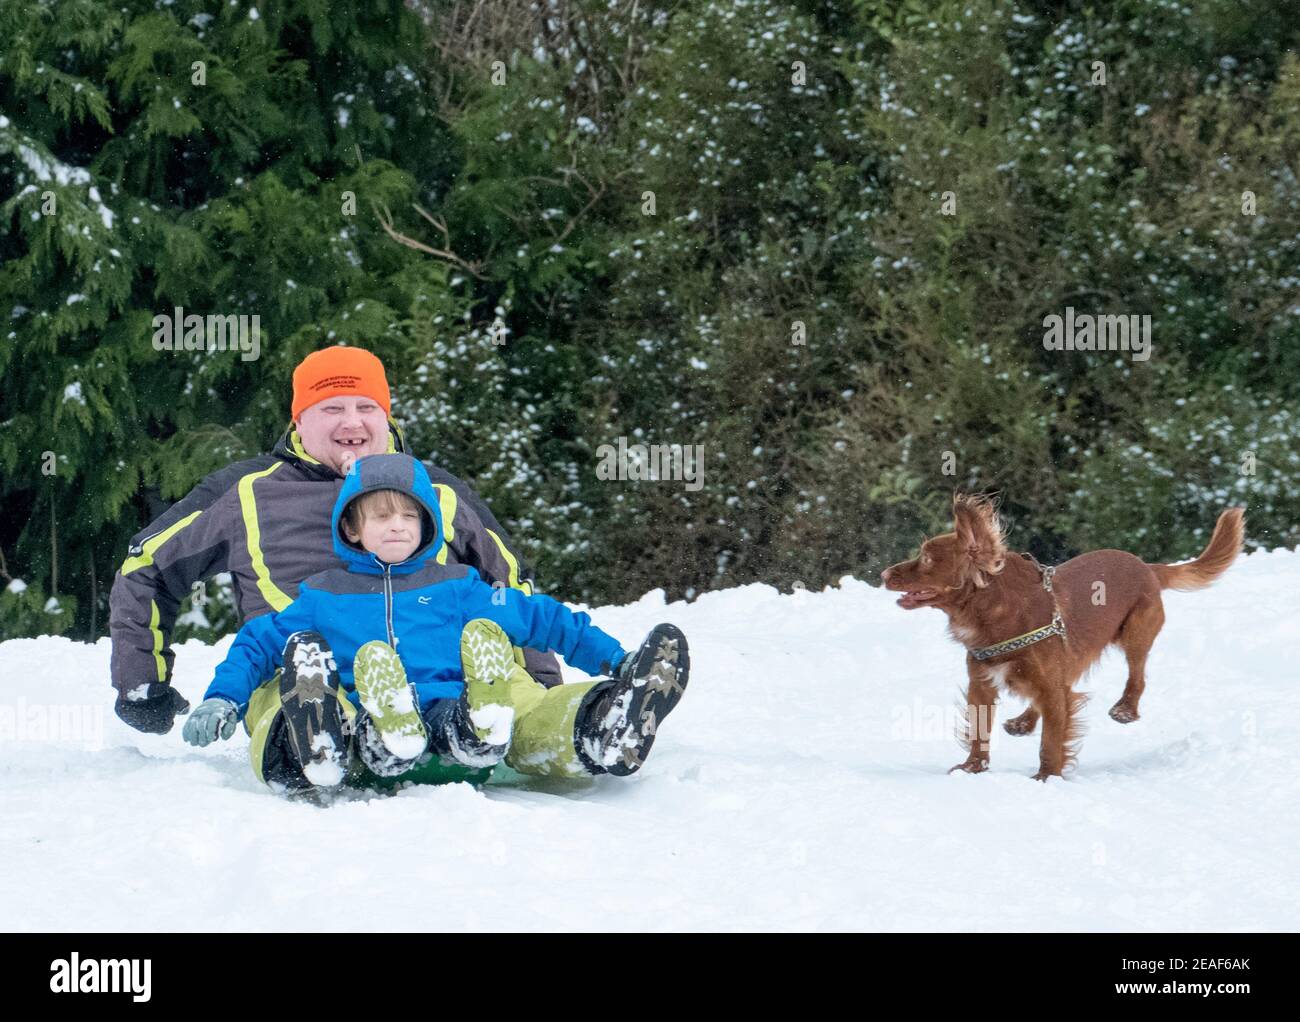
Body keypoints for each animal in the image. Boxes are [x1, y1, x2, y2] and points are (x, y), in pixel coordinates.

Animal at [878, 496, 1242, 774]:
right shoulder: (980, 685)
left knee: (1137, 676)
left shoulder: (1050, 689)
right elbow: (980, 732)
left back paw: (1125, 709)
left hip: (1136, 633)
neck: (996, 611)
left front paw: (1046, 777)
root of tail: (1147, 566)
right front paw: (972, 768)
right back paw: (1023, 722)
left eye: (927, 559)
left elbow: (1051, 741)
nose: (882, 574)